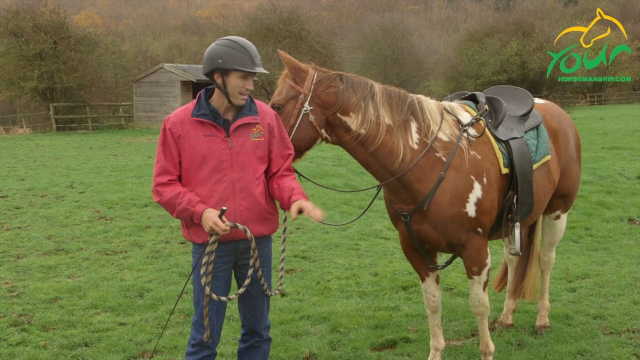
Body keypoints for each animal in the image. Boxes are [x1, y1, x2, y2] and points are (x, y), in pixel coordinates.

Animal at [268, 51, 580, 360]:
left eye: (277, 105)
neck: (427, 161)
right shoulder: (416, 248)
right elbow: (432, 303)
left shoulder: (475, 249)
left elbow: (479, 305)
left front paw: (486, 350)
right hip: (513, 222)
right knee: (514, 259)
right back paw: (507, 315)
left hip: (557, 211)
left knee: (545, 259)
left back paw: (542, 319)